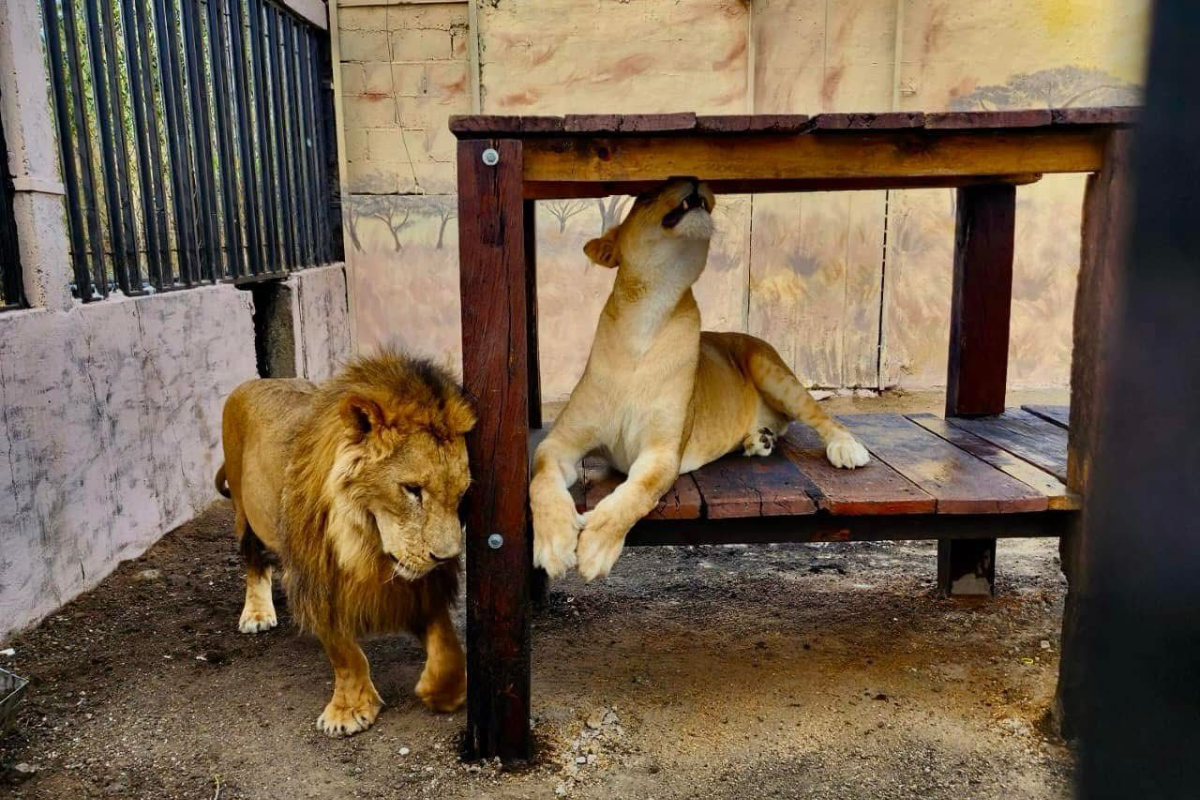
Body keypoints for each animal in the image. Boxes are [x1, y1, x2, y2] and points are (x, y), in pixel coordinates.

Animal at [213, 352, 475, 738]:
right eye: (412, 489)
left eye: (461, 494)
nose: (446, 557)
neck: (366, 543)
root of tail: (256, 382)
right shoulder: (319, 581)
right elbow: (345, 653)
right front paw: (349, 711)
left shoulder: (420, 587)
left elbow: (446, 644)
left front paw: (442, 691)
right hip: (244, 511)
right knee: (254, 561)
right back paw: (257, 613)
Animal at [535, 179, 873, 582]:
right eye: (646, 195)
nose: (693, 178)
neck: (646, 316)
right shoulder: (559, 443)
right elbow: (541, 480)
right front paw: (554, 543)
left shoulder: (662, 453)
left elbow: (637, 492)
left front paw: (596, 545)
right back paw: (759, 439)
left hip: (771, 370)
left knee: (820, 417)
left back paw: (845, 448)